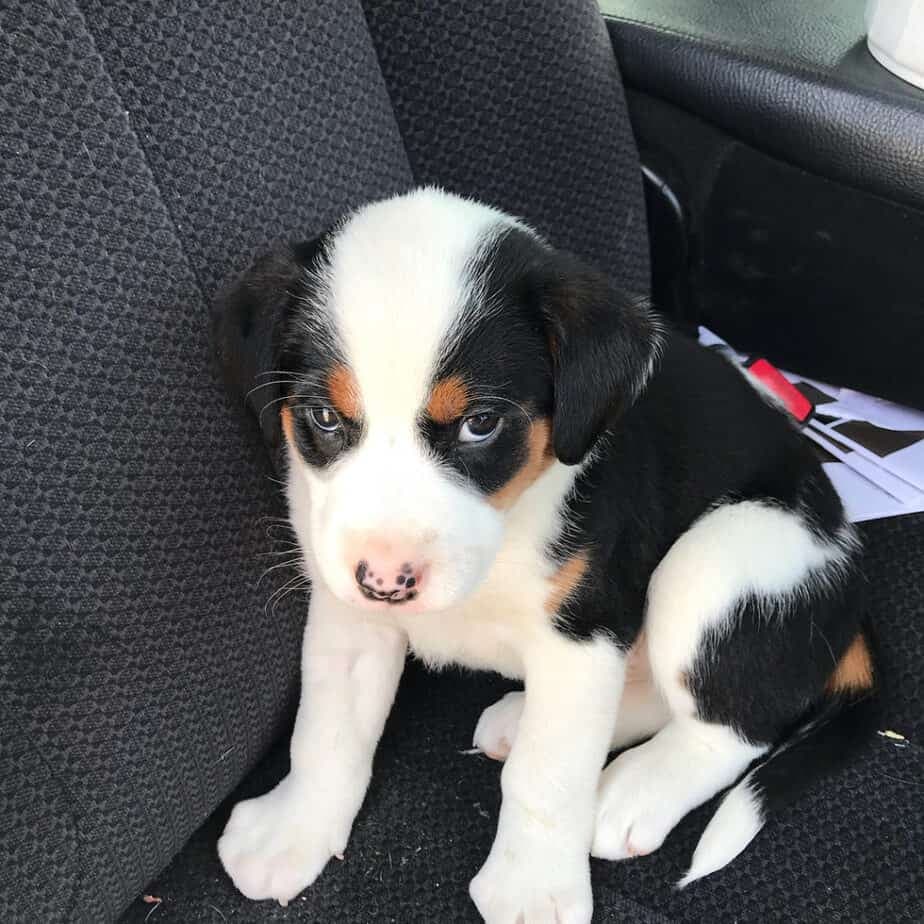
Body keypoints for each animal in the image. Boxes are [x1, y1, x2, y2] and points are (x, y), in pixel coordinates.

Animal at [215, 189, 872, 924]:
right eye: (324, 417)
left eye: (480, 424)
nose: (387, 580)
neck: (509, 522)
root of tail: (849, 580)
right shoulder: (349, 612)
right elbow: (327, 728)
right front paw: (292, 831)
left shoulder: (584, 630)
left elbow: (547, 775)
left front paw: (531, 889)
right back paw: (522, 720)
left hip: (713, 563)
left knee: (736, 726)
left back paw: (632, 792)